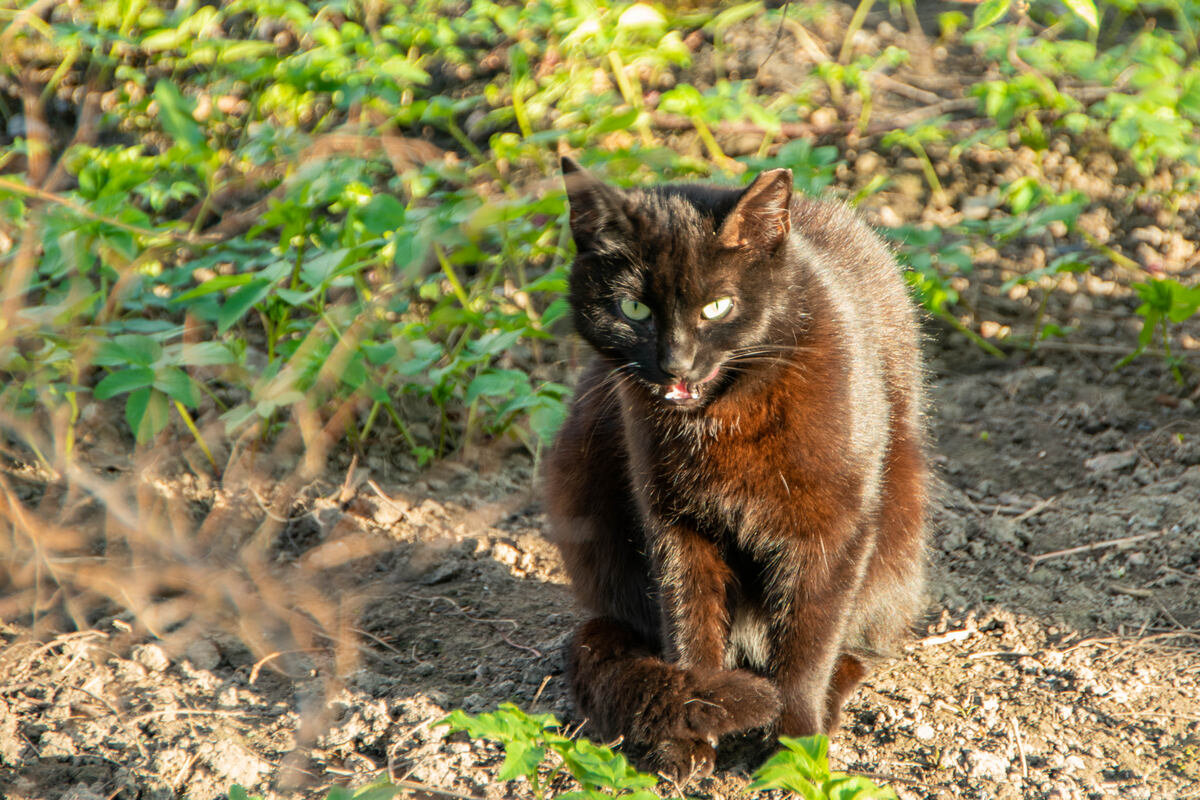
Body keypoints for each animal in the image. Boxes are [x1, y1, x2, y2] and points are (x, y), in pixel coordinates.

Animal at [544, 158, 926, 782]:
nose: (675, 362)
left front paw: (796, 746)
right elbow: (688, 623)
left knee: (856, 640)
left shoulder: (831, 528)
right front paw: (690, 733)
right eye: (633, 309)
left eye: (717, 307)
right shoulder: (675, 524)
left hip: (899, 523)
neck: (723, 420)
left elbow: (808, 640)